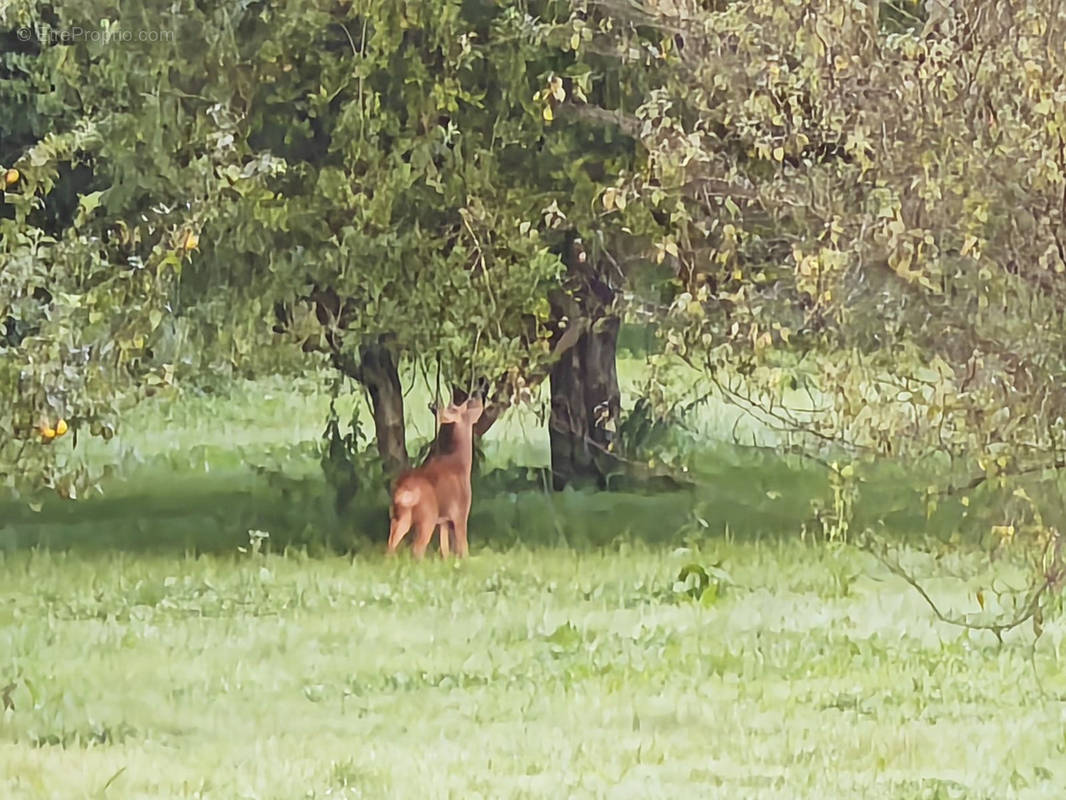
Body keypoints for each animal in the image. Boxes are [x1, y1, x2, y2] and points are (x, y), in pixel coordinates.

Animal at [385, 396, 486, 558]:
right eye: (459, 408)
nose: (474, 398)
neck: (461, 464)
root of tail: (404, 490)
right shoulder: (460, 513)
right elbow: (463, 548)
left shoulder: (443, 521)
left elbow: (445, 549)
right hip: (427, 517)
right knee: (417, 549)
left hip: (399, 516)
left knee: (390, 547)